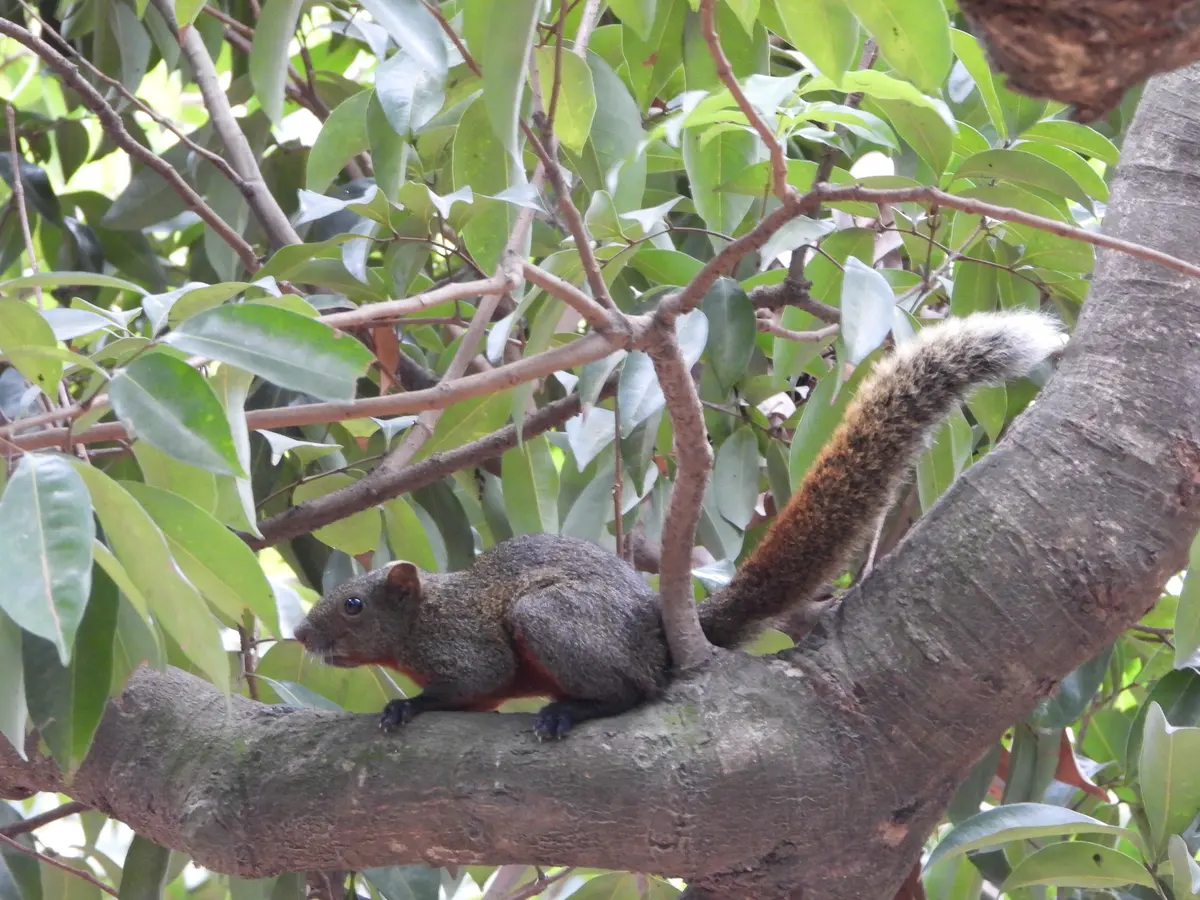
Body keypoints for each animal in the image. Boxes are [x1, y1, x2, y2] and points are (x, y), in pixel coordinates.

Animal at [294, 310, 1063, 739]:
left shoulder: (466, 649)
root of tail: (654, 630)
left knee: (637, 690)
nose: (300, 636)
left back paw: (574, 712)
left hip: (553, 619)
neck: (424, 618)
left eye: (353, 604)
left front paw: (410, 706)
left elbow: (472, 682)